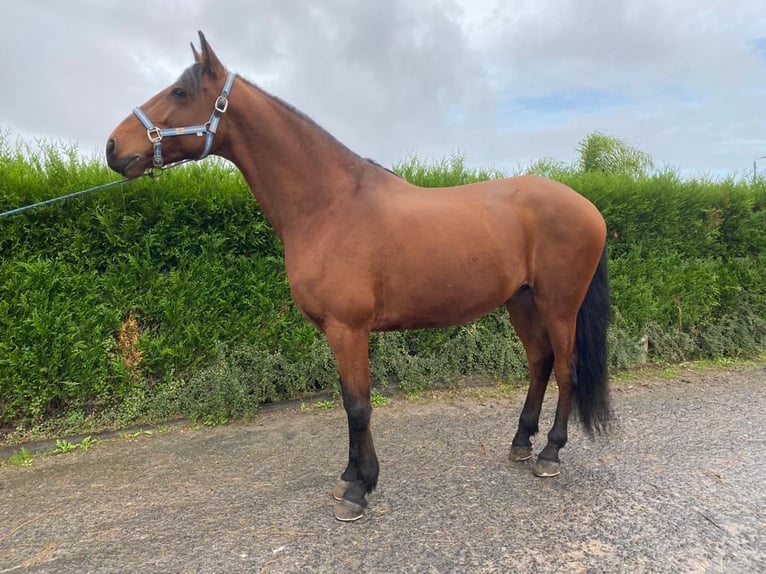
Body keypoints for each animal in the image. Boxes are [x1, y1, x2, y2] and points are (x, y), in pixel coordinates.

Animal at [106, 33, 612, 524]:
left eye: (179, 91)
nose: (112, 147)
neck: (330, 205)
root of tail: (589, 207)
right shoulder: (341, 332)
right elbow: (351, 402)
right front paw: (350, 477)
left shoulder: (347, 329)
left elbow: (358, 405)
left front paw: (358, 489)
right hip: (521, 301)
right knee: (540, 363)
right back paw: (521, 443)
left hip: (558, 305)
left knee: (565, 368)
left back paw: (549, 453)